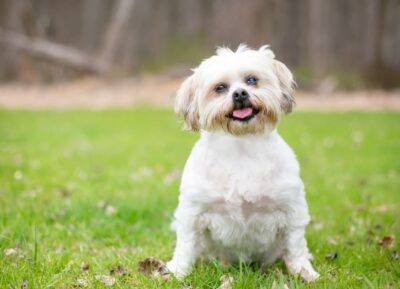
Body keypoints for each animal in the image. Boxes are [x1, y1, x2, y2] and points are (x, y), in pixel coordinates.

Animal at [166, 44, 318, 282]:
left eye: (251, 80)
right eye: (220, 88)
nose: (239, 93)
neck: (241, 146)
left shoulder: (292, 209)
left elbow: (295, 246)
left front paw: (304, 272)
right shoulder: (192, 212)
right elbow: (186, 245)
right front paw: (178, 271)